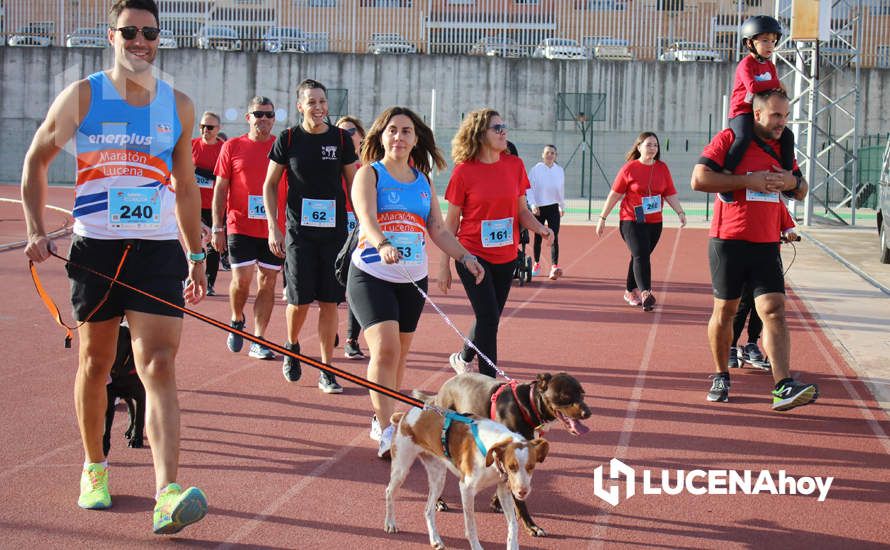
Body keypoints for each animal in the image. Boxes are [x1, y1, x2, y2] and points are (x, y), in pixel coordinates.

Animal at [104, 324, 147, 458]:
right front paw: (104, 446)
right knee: (131, 410)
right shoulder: (109, 398)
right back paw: (129, 430)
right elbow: (106, 426)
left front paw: (136, 440)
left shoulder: (141, 396)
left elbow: (139, 419)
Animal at [384, 410, 544, 550]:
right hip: (401, 469)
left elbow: (513, 525)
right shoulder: (466, 489)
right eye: (511, 466)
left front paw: (513, 545)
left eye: (531, 467)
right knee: (389, 492)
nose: (522, 492)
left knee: (428, 510)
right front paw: (476, 547)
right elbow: (471, 526)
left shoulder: (503, 490)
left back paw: (435, 539)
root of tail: (405, 415)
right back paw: (390, 523)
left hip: (438, 477)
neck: (490, 455)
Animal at [414, 374, 588, 536]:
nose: (588, 412)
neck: (527, 406)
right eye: (565, 395)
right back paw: (438, 502)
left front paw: (496, 502)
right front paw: (531, 526)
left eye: (582, 393)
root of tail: (442, 389)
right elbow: (519, 500)